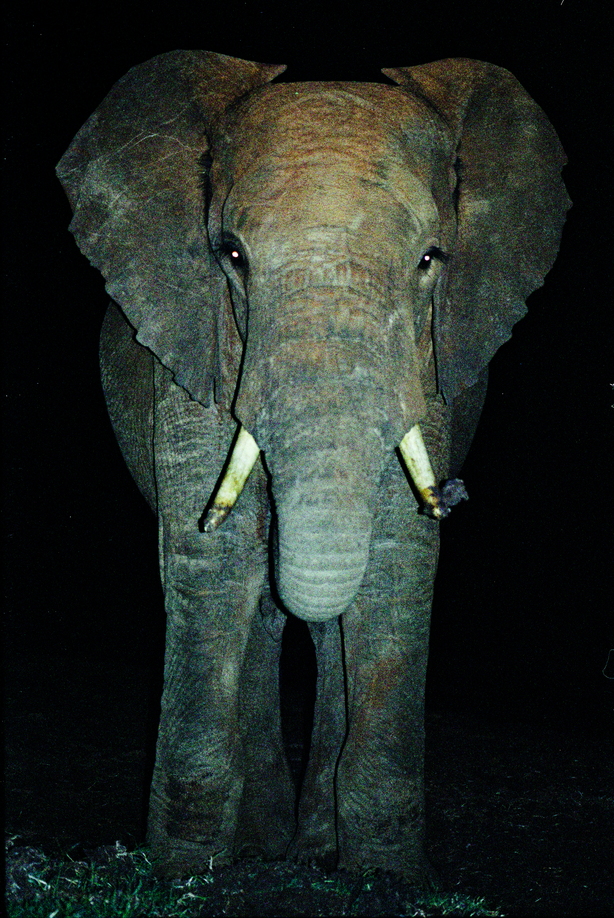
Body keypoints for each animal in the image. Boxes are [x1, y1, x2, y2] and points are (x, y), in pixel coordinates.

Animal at [56, 50, 569, 881]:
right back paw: (263, 850)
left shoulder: (426, 359)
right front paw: (183, 875)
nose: (454, 492)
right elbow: (214, 559)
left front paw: (383, 877)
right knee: (257, 613)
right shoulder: (192, 343)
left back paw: (312, 851)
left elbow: (395, 562)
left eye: (431, 260)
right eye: (231, 254)